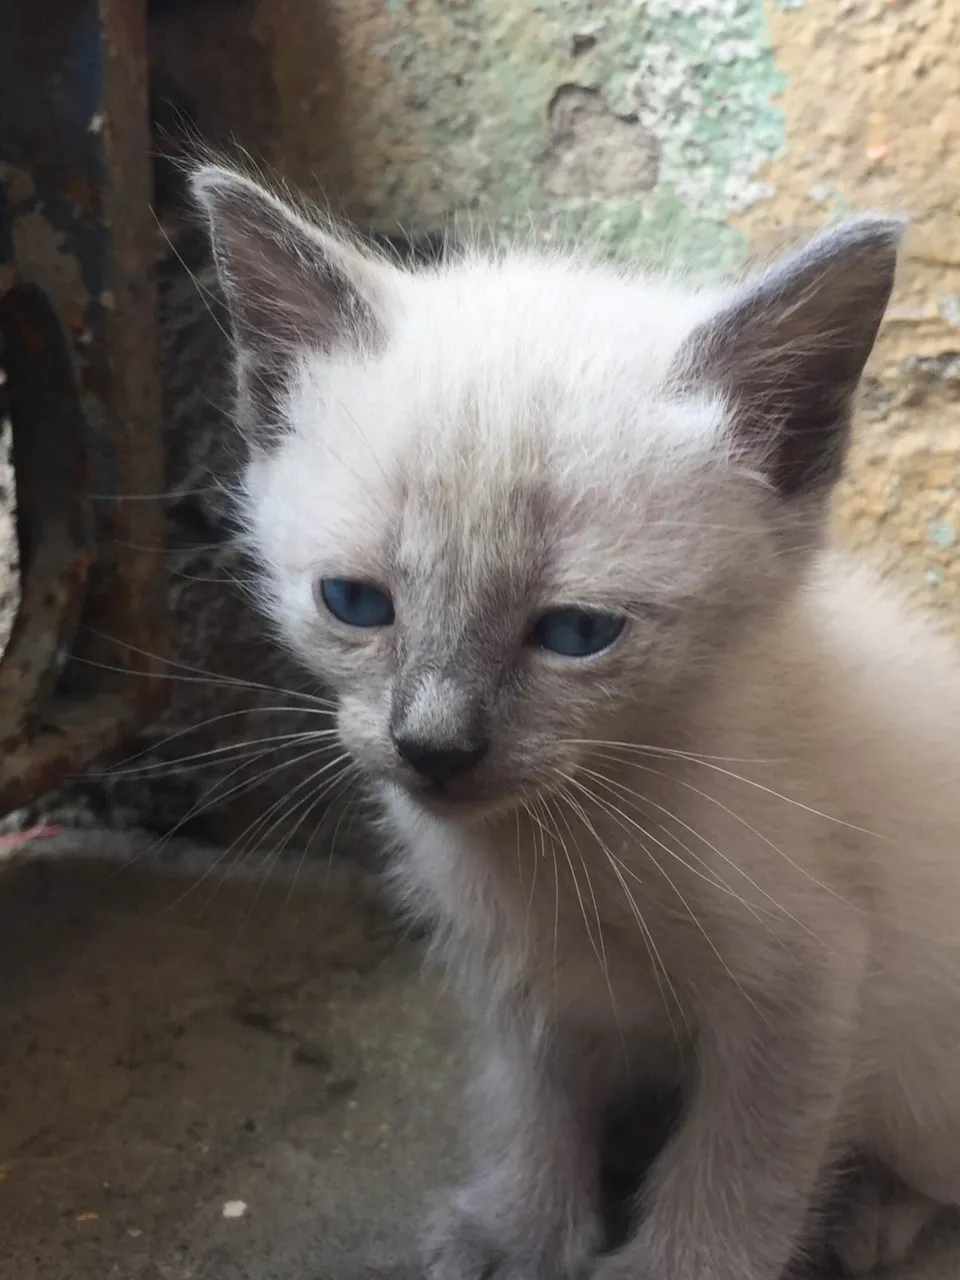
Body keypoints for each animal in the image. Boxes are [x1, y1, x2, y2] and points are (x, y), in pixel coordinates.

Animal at [191, 160, 960, 1280]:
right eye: (356, 604)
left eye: (577, 632)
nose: (433, 745)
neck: (567, 841)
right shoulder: (519, 977)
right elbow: (532, 1102)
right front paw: (518, 1231)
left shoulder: (806, 985)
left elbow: (741, 1168)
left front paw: (676, 1264)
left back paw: (874, 1214)